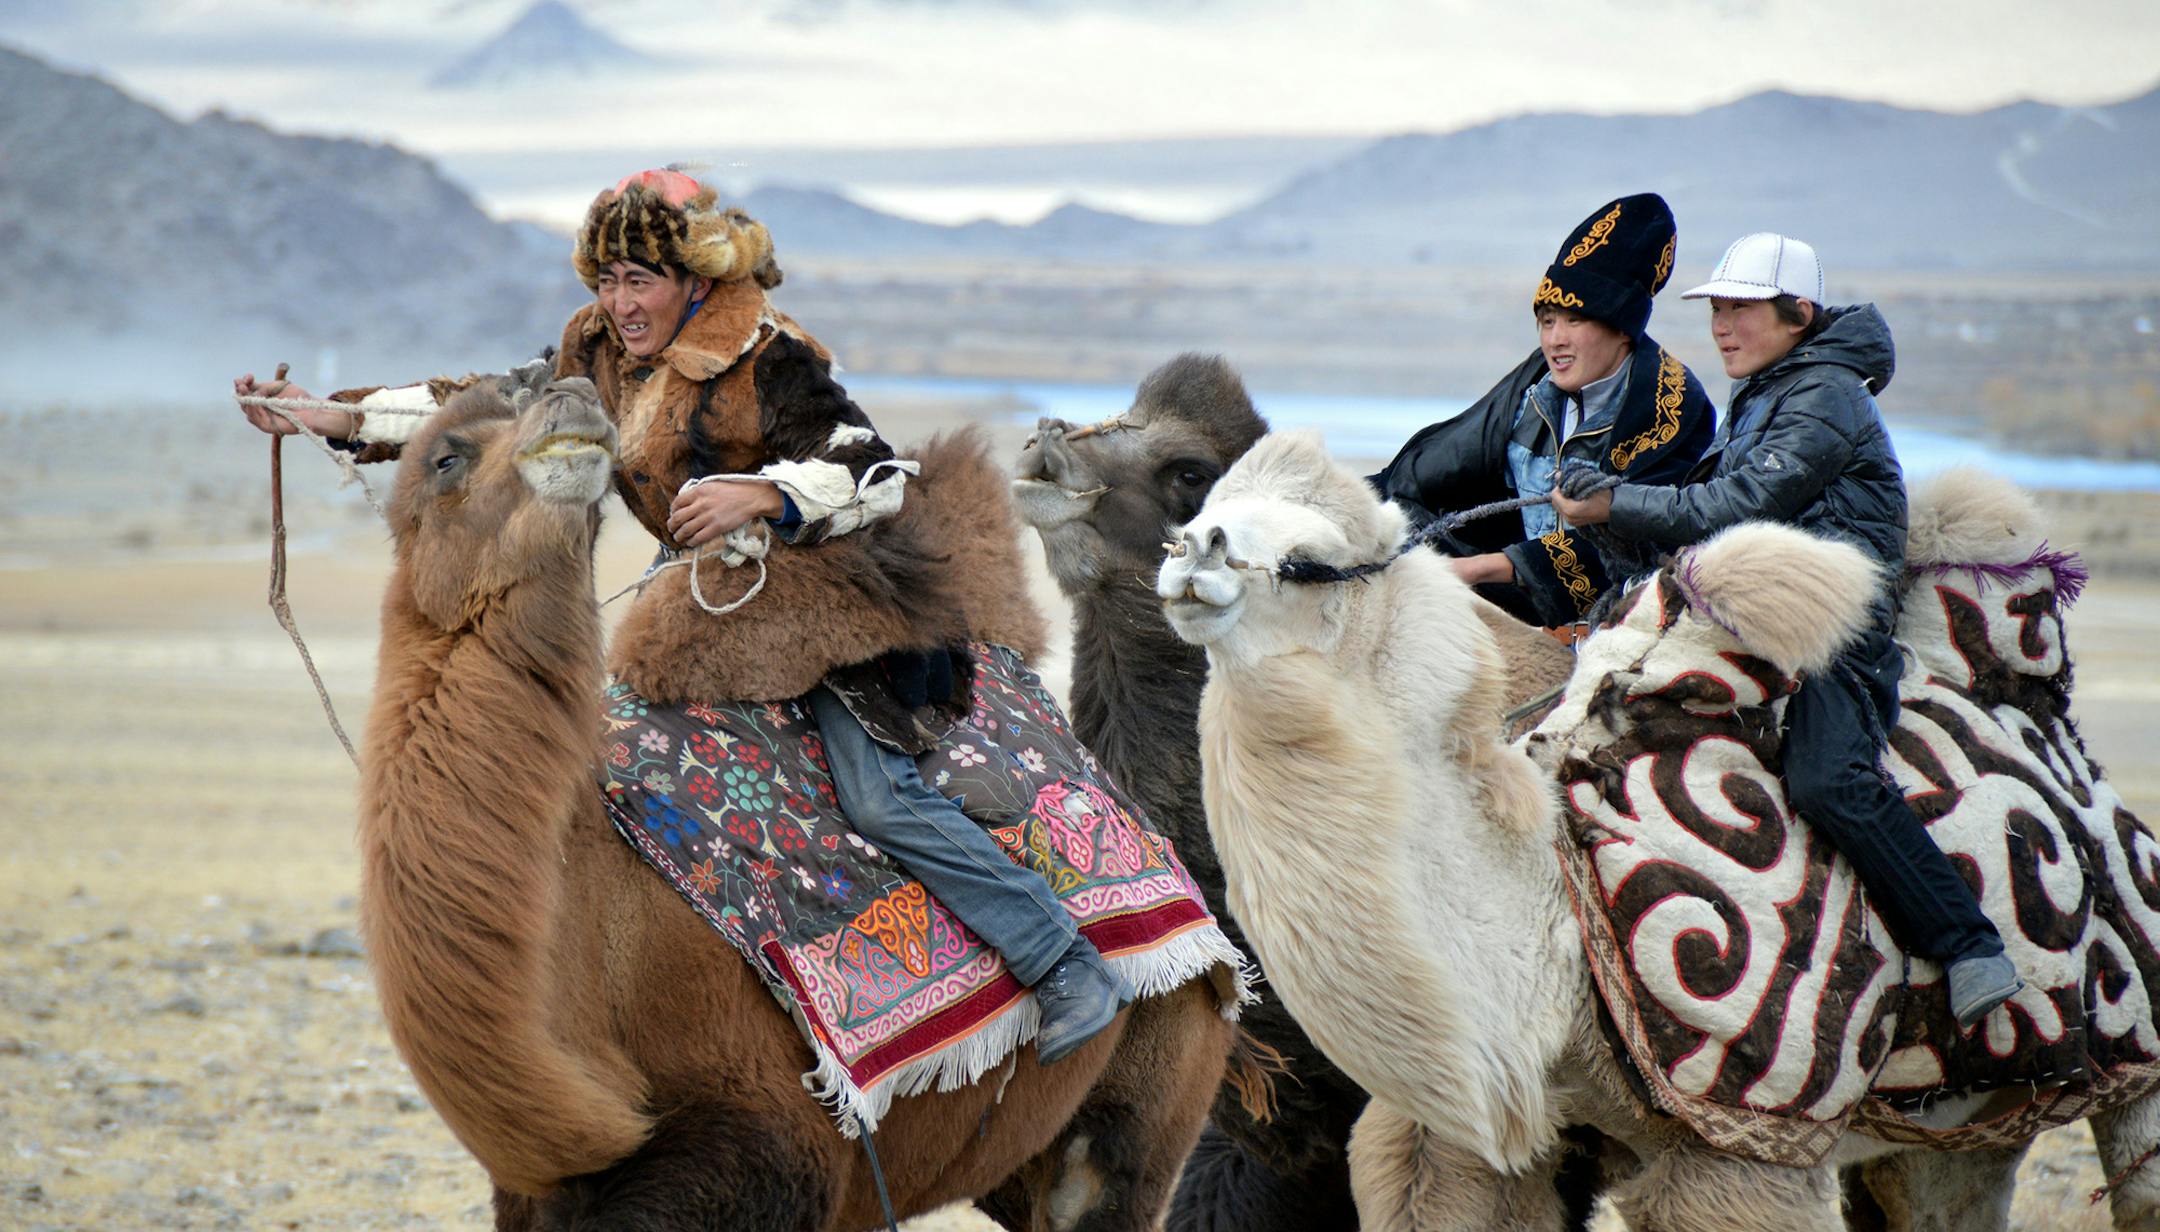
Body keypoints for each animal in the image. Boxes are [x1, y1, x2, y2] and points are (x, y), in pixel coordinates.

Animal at [1156, 429, 2160, 1232]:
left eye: (1311, 559)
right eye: (1207, 504)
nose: (1191, 549)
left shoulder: (1750, 1138)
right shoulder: (1464, 1152)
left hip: (2133, 1060)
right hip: (1954, 1124)